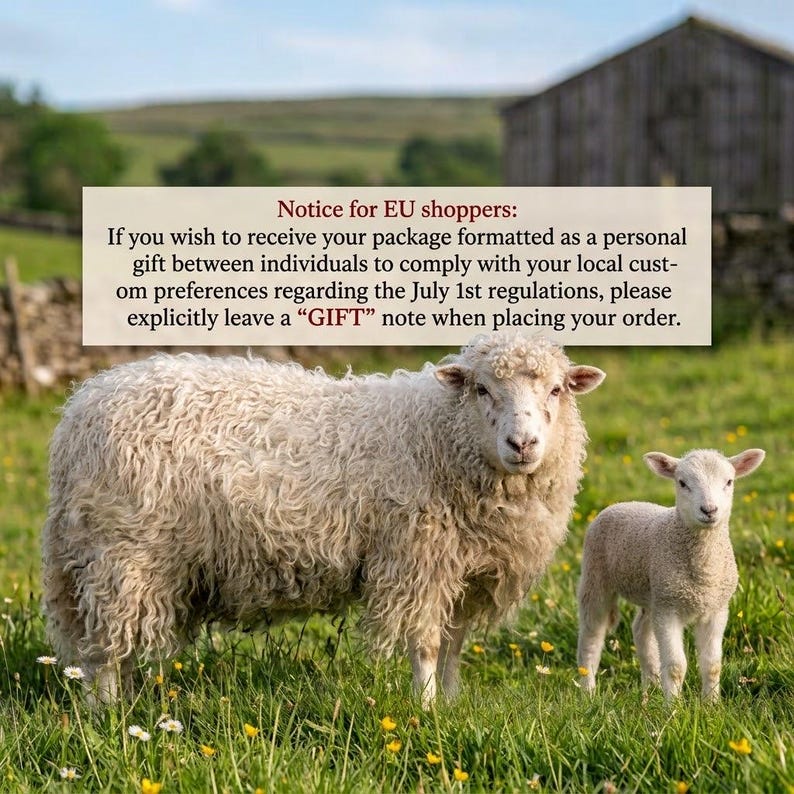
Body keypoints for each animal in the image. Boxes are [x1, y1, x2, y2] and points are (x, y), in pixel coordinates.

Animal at [41, 332, 605, 706]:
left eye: (557, 390)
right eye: (483, 389)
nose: (522, 444)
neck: (440, 435)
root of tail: (81, 407)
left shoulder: (466, 574)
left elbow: (452, 647)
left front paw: (450, 704)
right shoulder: (416, 562)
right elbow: (425, 645)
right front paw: (425, 713)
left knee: (108, 645)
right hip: (122, 552)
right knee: (103, 649)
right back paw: (109, 715)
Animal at [577, 447, 765, 702]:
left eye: (729, 482)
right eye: (682, 483)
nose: (709, 510)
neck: (704, 573)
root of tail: (621, 503)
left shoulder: (716, 609)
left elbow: (712, 665)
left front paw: (711, 704)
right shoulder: (669, 611)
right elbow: (676, 666)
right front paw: (673, 707)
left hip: (654, 593)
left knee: (641, 630)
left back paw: (651, 686)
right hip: (596, 576)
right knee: (591, 636)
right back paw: (588, 690)